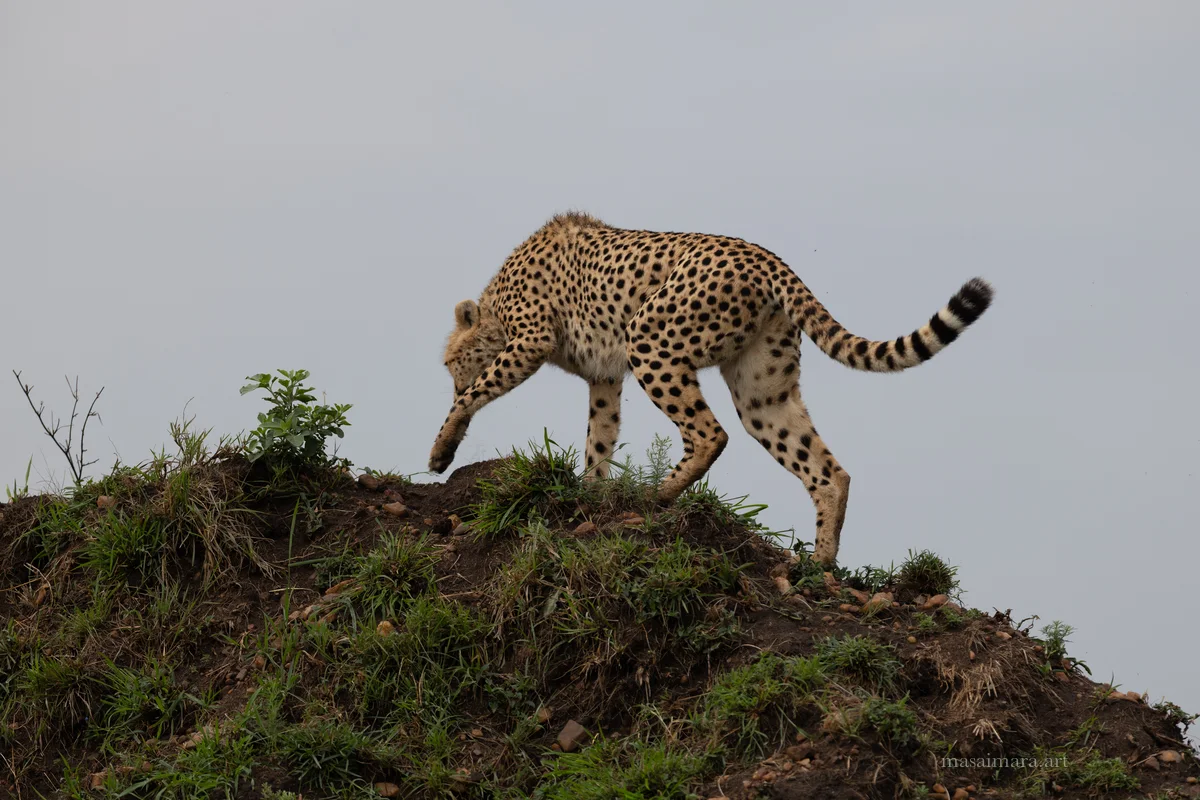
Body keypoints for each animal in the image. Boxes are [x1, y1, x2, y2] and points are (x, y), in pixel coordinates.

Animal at [428, 212, 993, 566]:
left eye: (450, 362)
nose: (448, 374)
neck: (496, 306)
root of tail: (765, 256)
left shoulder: (531, 340)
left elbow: (476, 395)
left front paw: (442, 450)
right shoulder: (605, 376)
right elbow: (600, 437)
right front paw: (590, 492)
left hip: (649, 338)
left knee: (710, 433)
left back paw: (658, 495)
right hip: (762, 392)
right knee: (827, 469)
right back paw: (822, 562)